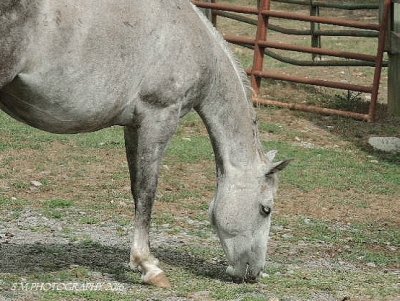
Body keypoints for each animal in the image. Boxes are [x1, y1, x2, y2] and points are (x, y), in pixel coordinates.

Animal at [0, 0, 290, 286]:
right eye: (266, 209)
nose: (254, 273)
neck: (193, 40)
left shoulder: (133, 127)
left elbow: (135, 189)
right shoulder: (159, 118)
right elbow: (147, 191)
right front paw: (148, 266)